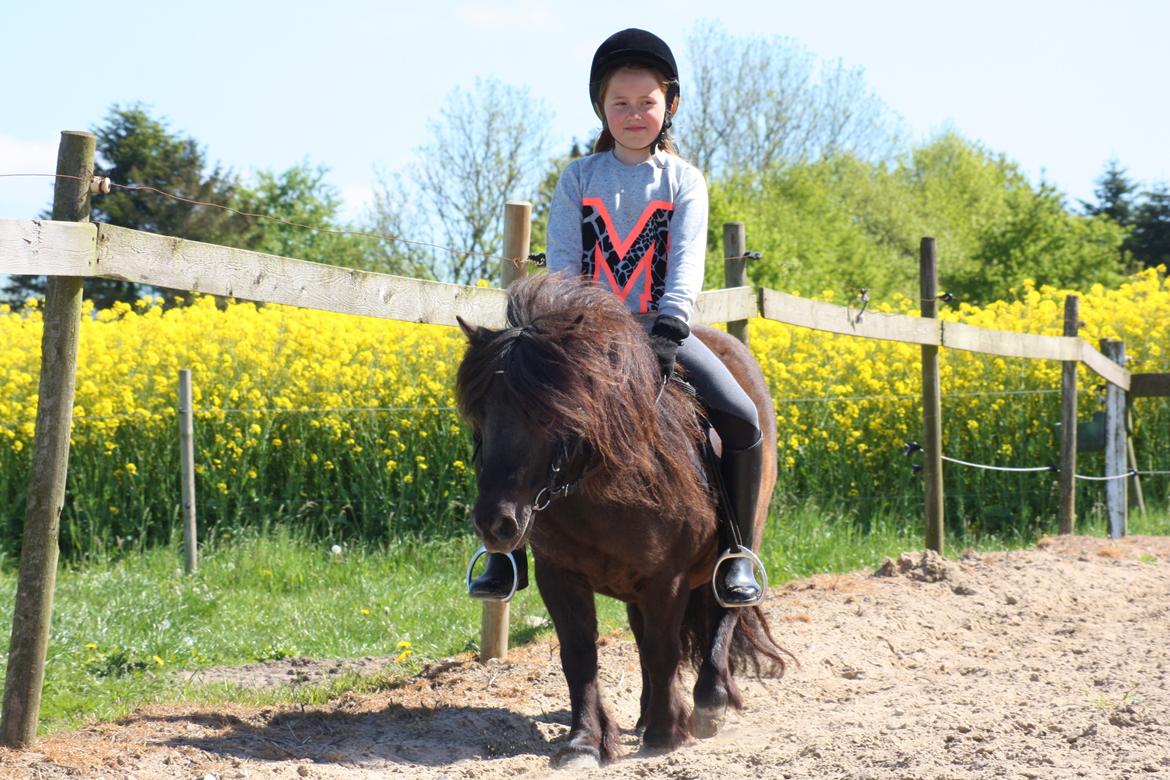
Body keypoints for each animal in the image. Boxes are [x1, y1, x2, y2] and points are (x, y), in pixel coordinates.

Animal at [451, 275, 790, 767]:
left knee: (725, 609)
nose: (496, 524)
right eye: (480, 414)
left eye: (548, 411)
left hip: (738, 543)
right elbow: (580, 655)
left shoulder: (666, 578)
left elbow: (664, 648)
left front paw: (668, 734)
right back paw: (649, 715)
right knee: (642, 634)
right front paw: (584, 741)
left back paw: (708, 703)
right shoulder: (560, 574)